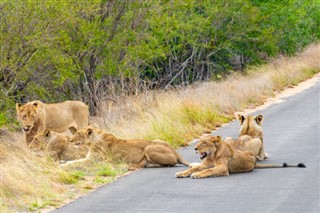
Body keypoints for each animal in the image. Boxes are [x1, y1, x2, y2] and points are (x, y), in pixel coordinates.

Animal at [63, 126, 191, 170]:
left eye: (78, 133)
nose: (71, 140)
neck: (91, 142)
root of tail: (174, 150)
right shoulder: (89, 158)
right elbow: (74, 161)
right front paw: (62, 163)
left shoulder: (95, 160)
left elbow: (75, 163)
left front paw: (63, 165)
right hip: (156, 140)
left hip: (148, 148)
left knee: (171, 163)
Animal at [176, 136, 306, 179]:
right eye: (199, 142)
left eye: (204, 143)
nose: (195, 148)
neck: (213, 155)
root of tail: (254, 162)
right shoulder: (205, 164)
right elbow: (194, 168)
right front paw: (181, 173)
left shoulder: (223, 168)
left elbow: (209, 170)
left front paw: (197, 175)